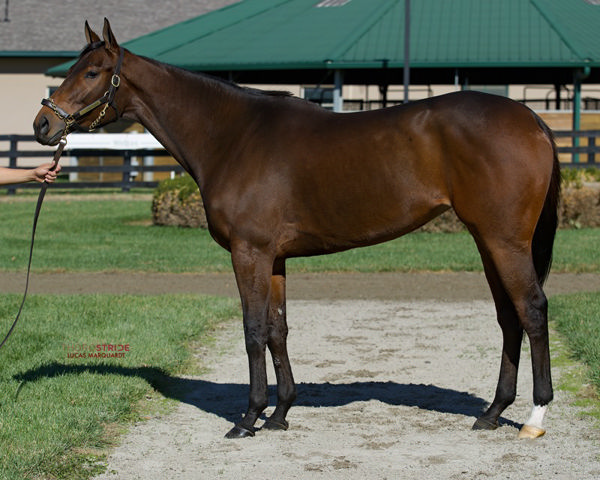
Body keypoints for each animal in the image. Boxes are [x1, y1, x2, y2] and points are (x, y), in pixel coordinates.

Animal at [32, 17, 560, 438]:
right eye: (73, 69)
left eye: (93, 73)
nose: (42, 125)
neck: (232, 136)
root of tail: (531, 118)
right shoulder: (275, 258)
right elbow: (277, 329)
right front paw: (281, 413)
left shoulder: (248, 253)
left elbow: (251, 330)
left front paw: (248, 419)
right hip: (488, 242)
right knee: (509, 317)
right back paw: (492, 413)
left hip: (505, 242)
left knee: (532, 311)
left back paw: (535, 418)